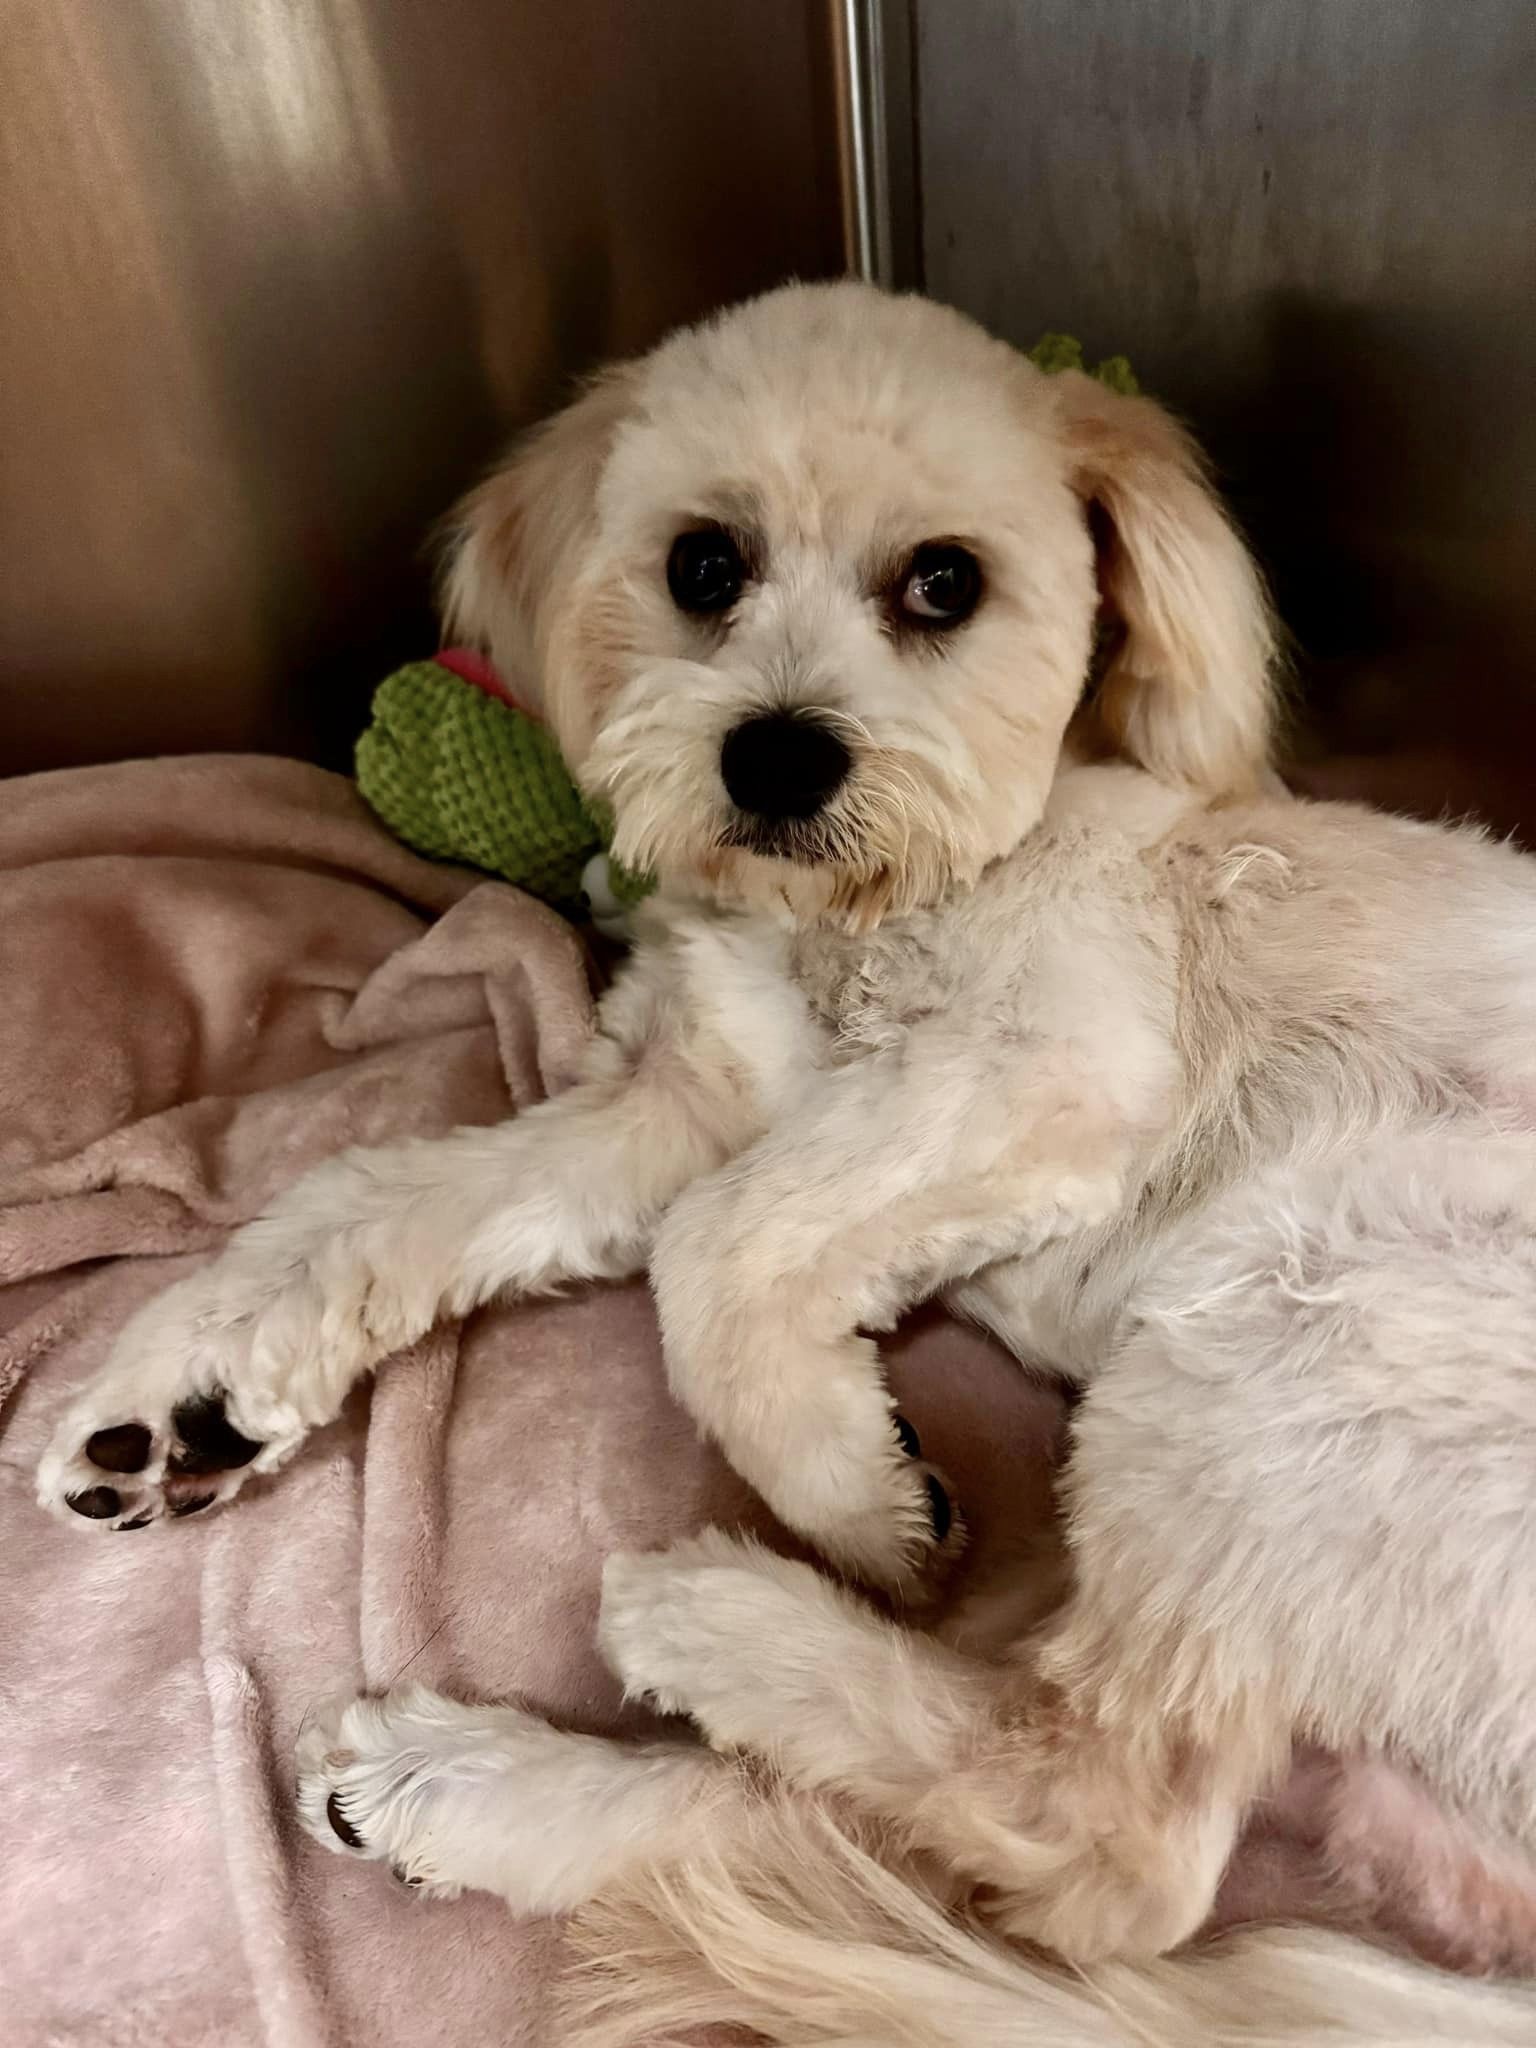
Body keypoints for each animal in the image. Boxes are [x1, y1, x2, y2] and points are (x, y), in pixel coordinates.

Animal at [36, 280, 1536, 2039]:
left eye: (945, 581)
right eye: (704, 565)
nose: (776, 758)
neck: (859, 918)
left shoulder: (1040, 1063)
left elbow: (714, 1246)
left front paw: (849, 1489)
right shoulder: (697, 1094)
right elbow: (383, 1195)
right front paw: (189, 1391)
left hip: (1320, 1309)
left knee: (1101, 1849)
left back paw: (717, 1627)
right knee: (896, 1856)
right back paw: (464, 1789)